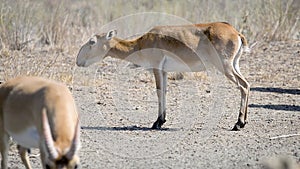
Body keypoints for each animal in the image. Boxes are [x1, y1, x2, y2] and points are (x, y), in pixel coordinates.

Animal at [76, 22, 250, 131]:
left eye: (92, 42)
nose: (78, 60)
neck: (142, 43)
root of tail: (236, 33)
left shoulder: (156, 68)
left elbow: (159, 91)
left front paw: (157, 122)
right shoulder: (164, 71)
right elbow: (164, 91)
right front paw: (162, 120)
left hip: (225, 67)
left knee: (243, 86)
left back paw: (238, 124)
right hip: (234, 65)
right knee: (247, 85)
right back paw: (243, 122)